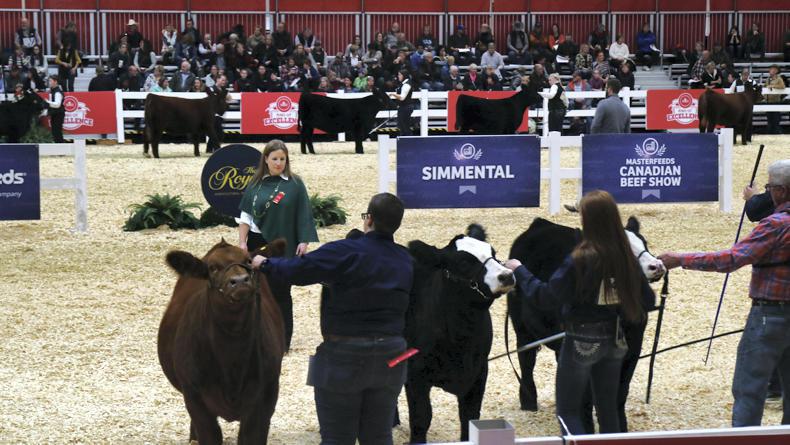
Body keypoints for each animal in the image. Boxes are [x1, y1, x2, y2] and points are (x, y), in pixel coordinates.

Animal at [158, 238, 286, 445]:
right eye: (212, 268)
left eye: (248, 260)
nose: (240, 281)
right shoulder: (194, 396)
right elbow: (209, 434)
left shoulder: (267, 393)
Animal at [405, 224, 516, 443]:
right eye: (464, 262)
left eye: (493, 253)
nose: (507, 275)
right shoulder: (415, 374)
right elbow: (421, 417)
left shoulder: (479, 371)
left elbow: (469, 417)